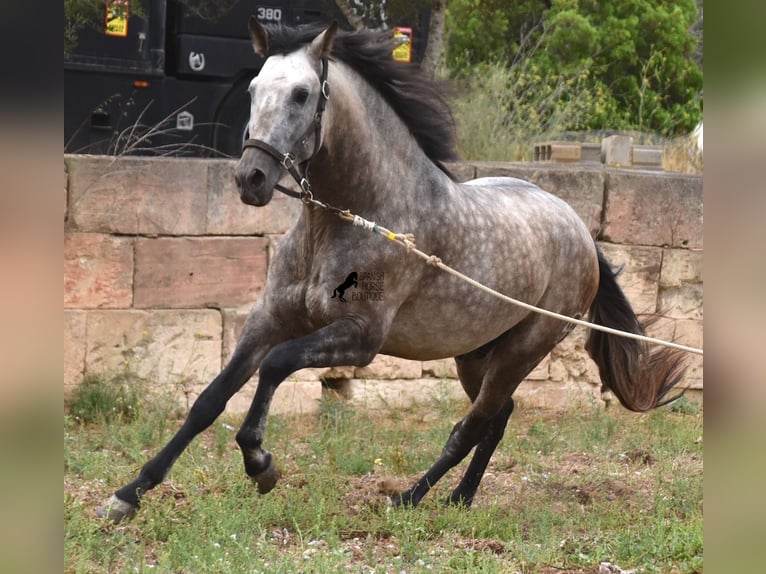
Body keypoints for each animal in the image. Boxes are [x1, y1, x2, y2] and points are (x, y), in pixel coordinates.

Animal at [99, 20, 688, 524]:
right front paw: (128, 495)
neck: (354, 217)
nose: (251, 179)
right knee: (499, 417)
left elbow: (275, 367)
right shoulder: (269, 319)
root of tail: (580, 230)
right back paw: (459, 498)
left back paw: (409, 498)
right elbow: (209, 401)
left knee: (471, 425)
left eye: (302, 94)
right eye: (253, 89)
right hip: (476, 354)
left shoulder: (360, 338)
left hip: (523, 348)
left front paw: (261, 465)